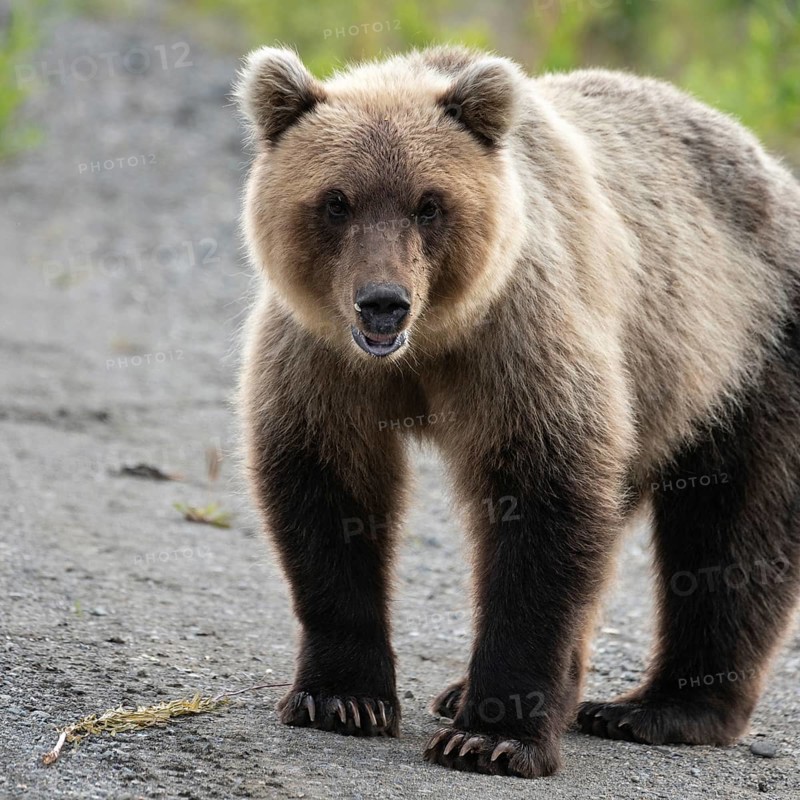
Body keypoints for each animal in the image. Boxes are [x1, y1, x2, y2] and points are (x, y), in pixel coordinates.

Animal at [233, 45, 800, 778]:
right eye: (336, 201)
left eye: (429, 204)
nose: (383, 303)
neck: (431, 345)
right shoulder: (323, 359)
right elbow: (326, 487)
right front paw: (341, 699)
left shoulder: (521, 339)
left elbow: (541, 504)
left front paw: (491, 736)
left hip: (743, 352)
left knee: (733, 530)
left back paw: (657, 708)